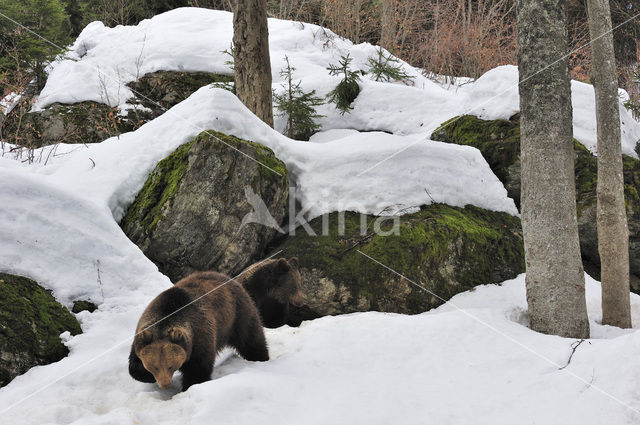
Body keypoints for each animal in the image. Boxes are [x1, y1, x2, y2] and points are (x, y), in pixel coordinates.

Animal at [129, 272, 268, 390]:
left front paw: (190, 385)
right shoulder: (141, 337)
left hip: (237, 315)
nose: (165, 384)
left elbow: (198, 369)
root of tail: (229, 278)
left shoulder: (199, 336)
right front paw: (147, 376)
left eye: (170, 366)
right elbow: (134, 365)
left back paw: (260, 358)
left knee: (251, 339)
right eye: (155, 367)